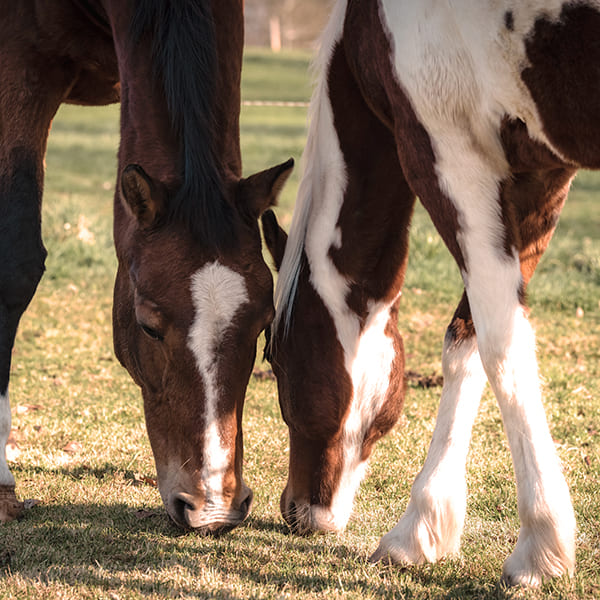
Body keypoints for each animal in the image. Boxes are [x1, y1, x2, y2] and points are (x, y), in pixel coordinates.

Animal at [262, 0, 596, 584]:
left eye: (275, 360)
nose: (294, 510)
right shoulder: (541, 178)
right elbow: (468, 341)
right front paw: (420, 527)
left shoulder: (445, 155)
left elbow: (500, 346)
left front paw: (540, 542)